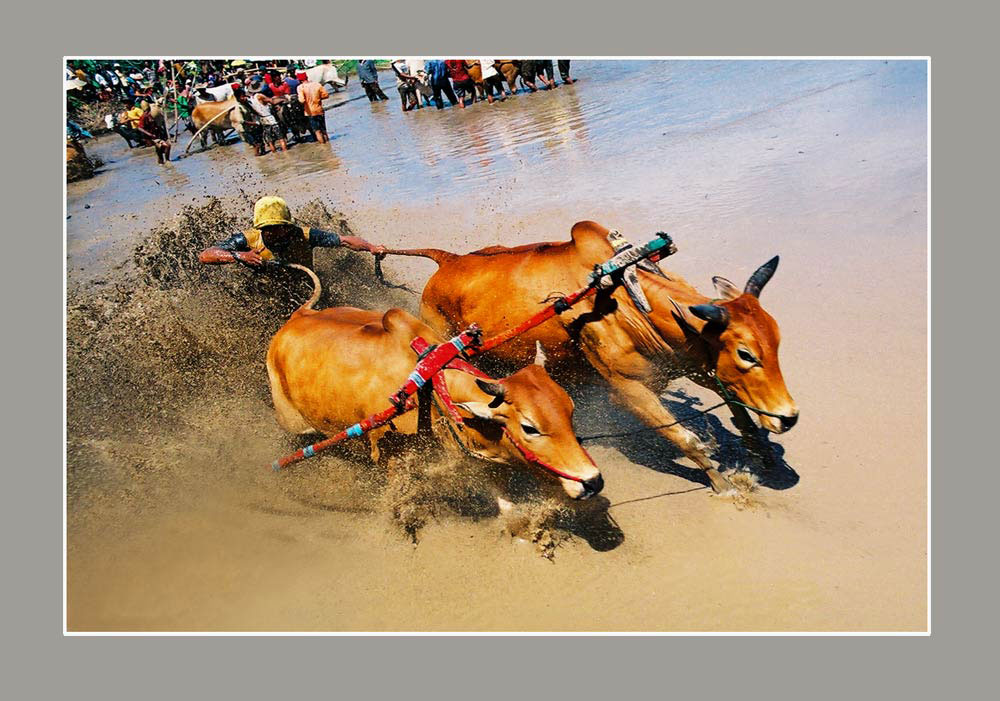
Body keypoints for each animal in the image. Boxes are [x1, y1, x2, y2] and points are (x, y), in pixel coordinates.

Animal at [266, 266, 600, 498]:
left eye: (570, 411)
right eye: (530, 427)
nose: (593, 481)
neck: (430, 387)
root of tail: (298, 316)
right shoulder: (391, 460)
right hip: (292, 423)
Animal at [382, 221, 796, 490]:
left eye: (777, 342)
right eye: (745, 354)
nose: (789, 417)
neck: (623, 296)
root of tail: (447, 260)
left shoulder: (692, 361)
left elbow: (739, 412)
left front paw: (764, 455)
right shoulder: (628, 389)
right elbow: (687, 440)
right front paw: (725, 486)